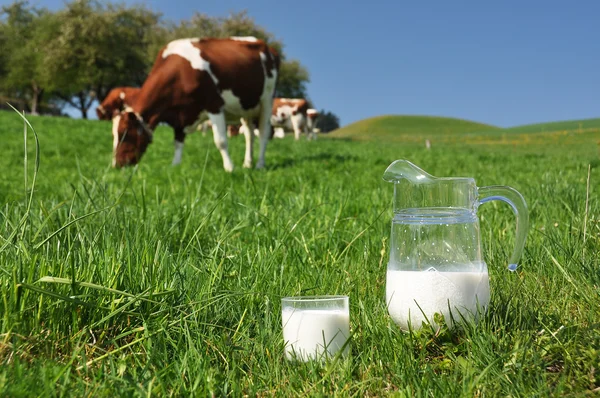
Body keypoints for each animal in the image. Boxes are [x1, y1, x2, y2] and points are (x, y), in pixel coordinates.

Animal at [111, 37, 280, 173]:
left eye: (125, 134)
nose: (116, 165)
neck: (180, 71)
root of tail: (266, 45)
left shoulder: (214, 105)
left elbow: (221, 141)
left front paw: (229, 168)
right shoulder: (179, 115)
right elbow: (178, 142)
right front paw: (175, 165)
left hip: (267, 100)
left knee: (263, 133)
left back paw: (259, 164)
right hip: (246, 107)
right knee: (249, 135)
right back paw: (247, 163)